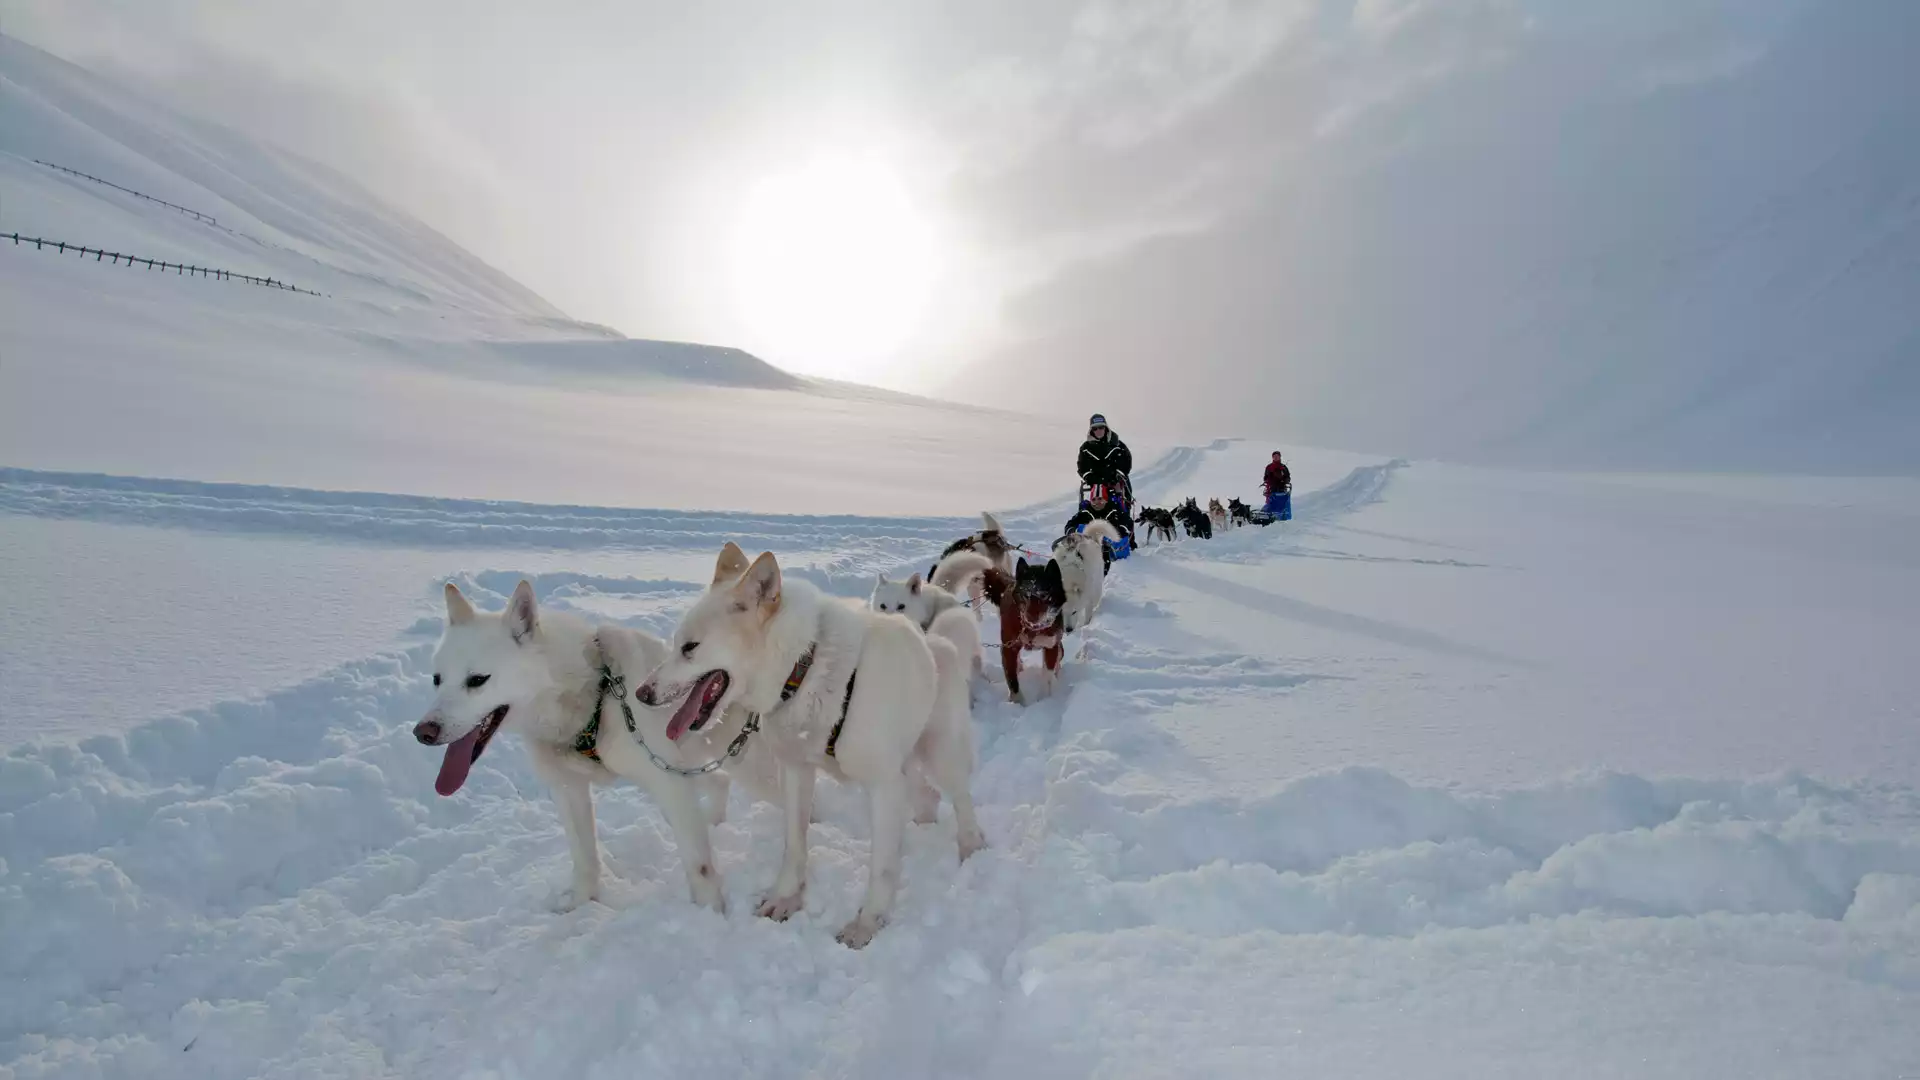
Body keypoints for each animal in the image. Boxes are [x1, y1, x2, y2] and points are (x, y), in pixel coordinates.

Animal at [418, 580, 779, 907]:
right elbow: (585, 859)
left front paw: (709, 914)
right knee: (719, 782)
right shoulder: (568, 789)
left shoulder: (668, 783)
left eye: (477, 680)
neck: (594, 697)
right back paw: (714, 821)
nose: (423, 732)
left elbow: (699, 866)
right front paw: (580, 905)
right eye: (436, 679)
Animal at [637, 538, 983, 941]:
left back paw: (972, 847)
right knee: (926, 796)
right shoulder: (796, 770)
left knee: (961, 799)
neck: (806, 669)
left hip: (941, 754)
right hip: (907, 768)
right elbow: (794, 844)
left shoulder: (882, 785)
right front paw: (785, 898)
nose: (642, 693)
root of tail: (938, 641)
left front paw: (867, 924)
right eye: (675, 643)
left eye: (690, 647)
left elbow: (881, 867)